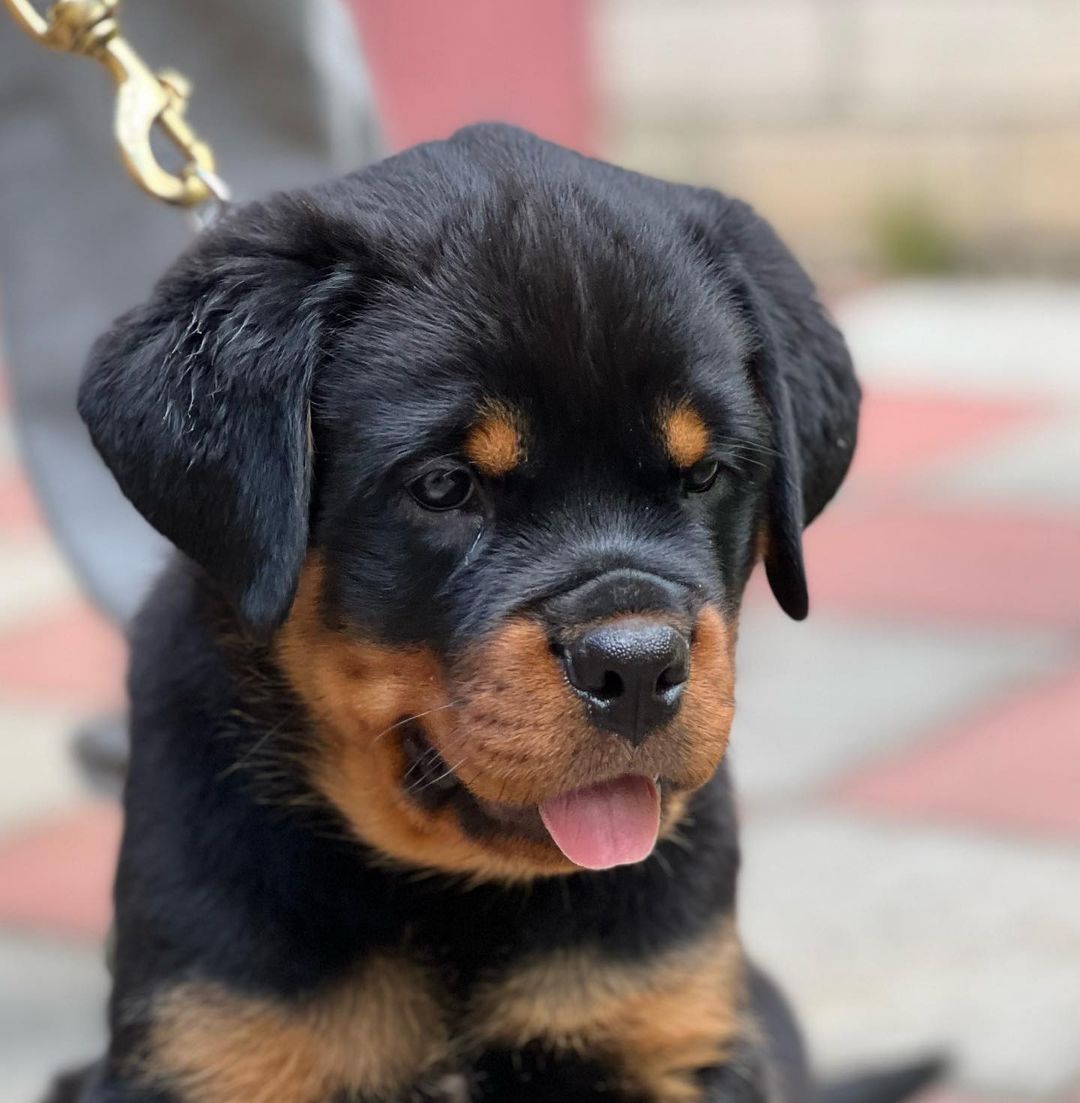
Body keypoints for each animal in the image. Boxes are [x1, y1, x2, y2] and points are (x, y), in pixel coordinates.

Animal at [61, 125, 869, 1098]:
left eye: (706, 472)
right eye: (444, 486)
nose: (637, 664)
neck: (454, 899)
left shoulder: (667, 1022)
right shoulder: (209, 1040)